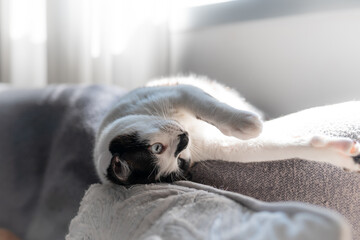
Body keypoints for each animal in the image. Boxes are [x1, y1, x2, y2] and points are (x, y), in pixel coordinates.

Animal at [93, 76, 360, 185]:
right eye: (179, 162)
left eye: (156, 148)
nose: (184, 140)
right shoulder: (221, 148)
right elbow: (279, 146)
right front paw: (342, 155)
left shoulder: (182, 92)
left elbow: (212, 107)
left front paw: (247, 124)